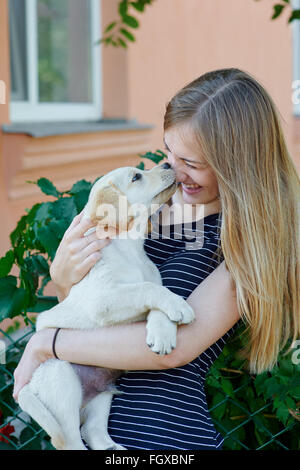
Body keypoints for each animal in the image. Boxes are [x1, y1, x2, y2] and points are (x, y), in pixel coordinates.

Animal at [17, 163, 195, 450]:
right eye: (136, 177)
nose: (168, 164)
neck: (130, 249)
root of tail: (28, 388)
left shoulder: (146, 287)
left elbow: (156, 294)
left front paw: (163, 333)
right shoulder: (104, 300)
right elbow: (146, 289)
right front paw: (179, 308)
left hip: (101, 395)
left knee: (93, 431)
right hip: (62, 381)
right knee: (71, 441)